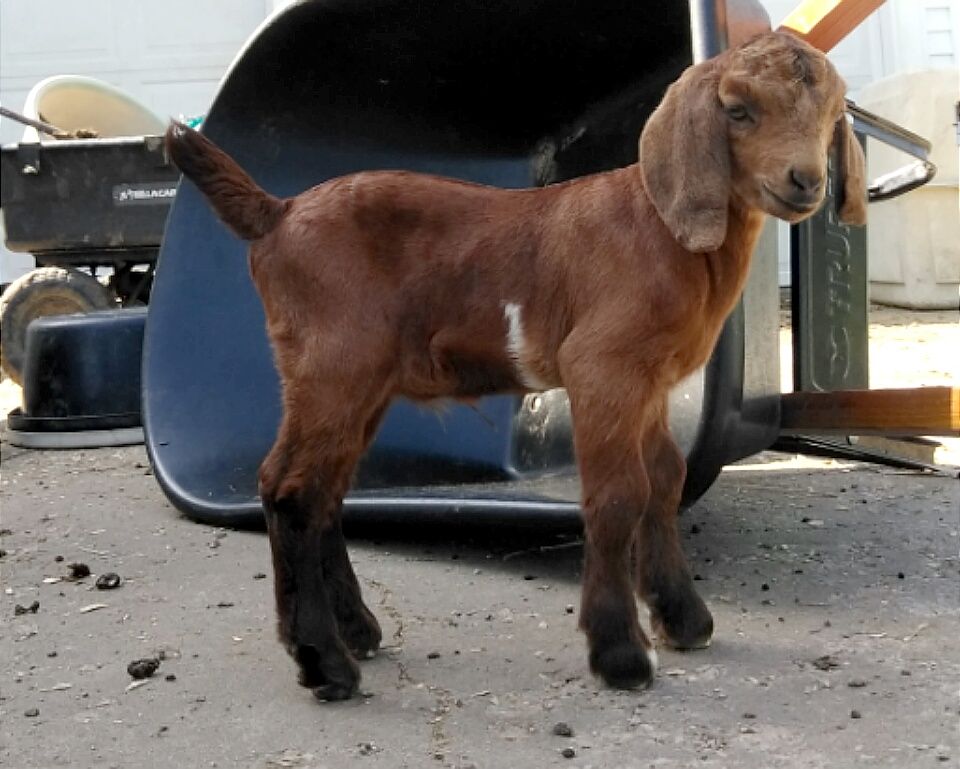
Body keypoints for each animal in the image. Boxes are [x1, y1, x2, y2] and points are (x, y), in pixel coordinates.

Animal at [165, 31, 866, 701]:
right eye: (739, 110)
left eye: (833, 114)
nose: (806, 181)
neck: (659, 227)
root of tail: (277, 215)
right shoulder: (602, 365)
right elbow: (619, 494)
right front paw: (619, 654)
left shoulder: (650, 380)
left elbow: (665, 478)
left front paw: (683, 617)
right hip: (333, 362)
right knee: (289, 488)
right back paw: (324, 663)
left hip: (361, 381)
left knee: (324, 491)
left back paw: (355, 631)